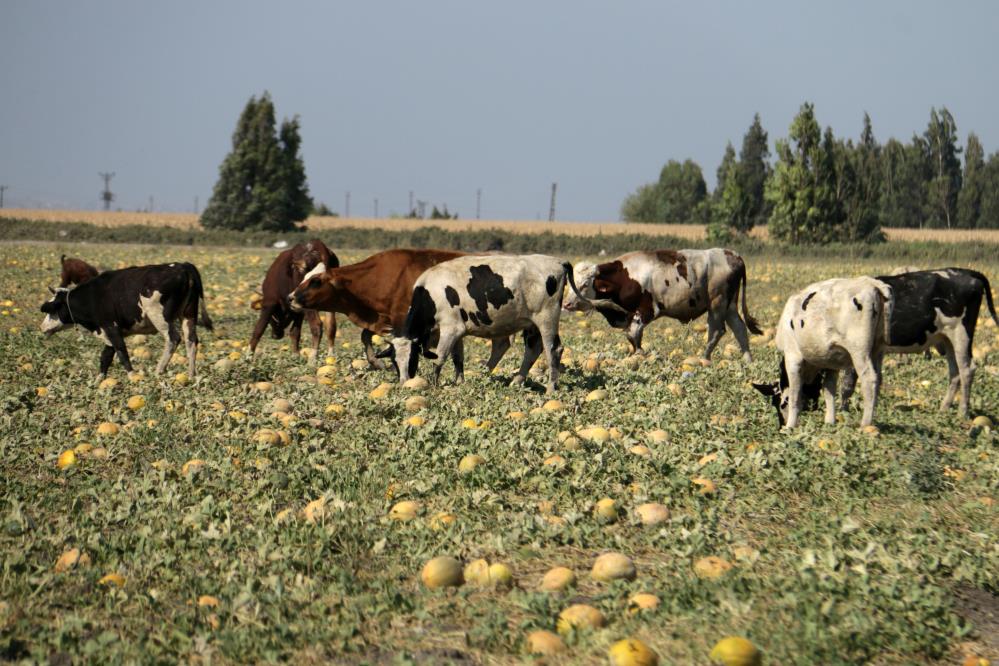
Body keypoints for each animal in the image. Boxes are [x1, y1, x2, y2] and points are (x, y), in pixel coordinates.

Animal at [40, 262, 213, 376]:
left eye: (51, 310)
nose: (41, 327)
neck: (92, 296)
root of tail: (182, 266)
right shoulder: (107, 333)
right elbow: (106, 357)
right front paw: (99, 382)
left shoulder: (111, 328)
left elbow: (122, 354)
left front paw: (132, 377)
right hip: (189, 315)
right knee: (191, 341)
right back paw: (191, 375)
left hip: (160, 317)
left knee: (173, 339)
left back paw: (159, 371)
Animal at [292, 246, 478, 368]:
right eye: (305, 277)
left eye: (315, 281)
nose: (290, 297)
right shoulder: (383, 318)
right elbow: (365, 336)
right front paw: (377, 362)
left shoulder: (402, 320)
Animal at [564, 248, 764, 360]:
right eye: (571, 282)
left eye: (584, 284)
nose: (566, 304)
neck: (625, 277)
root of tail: (733, 255)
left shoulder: (645, 311)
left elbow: (633, 336)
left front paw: (640, 356)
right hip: (730, 305)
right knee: (739, 329)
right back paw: (748, 362)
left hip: (718, 303)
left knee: (717, 330)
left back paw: (704, 359)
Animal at [752, 276, 896, 428]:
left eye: (779, 404)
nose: (781, 424)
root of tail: (873, 283)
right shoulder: (831, 363)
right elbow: (828, 389)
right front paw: (830, 421)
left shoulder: (793, 357)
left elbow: (794, 394)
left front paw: (790, 425)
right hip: (878, 348)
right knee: (878, 378)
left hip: (859, 351)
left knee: (869, 379)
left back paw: (865, 423)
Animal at [844, 268, 999, 418]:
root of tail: (969, 272)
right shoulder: (876, 350)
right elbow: (876, 377)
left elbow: (849, 382)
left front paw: (846, 409)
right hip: (948, 340)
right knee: (955, 372)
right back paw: (944, 408)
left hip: (962, 335)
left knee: (967, 370)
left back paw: (963, 413)